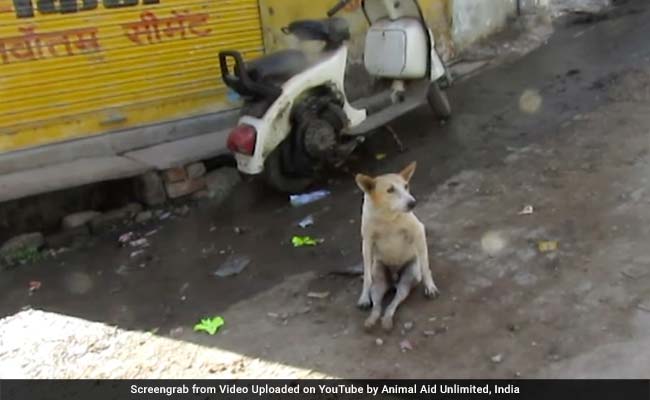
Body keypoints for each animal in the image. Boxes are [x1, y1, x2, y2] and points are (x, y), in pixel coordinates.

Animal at [352, 162, 438, 332]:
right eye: (390, 190)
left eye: (406, 186)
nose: (413, 203)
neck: (387, 215)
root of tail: (394, 279)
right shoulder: (367, 243)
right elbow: (367, 276)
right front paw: (363, 297)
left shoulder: (419, 231)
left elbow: (426, 267)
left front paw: (430, 286)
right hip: (379, 279)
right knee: (377, 304)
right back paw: (372, 320)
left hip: (407, 279)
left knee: (394, 302)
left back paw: (386, 320)